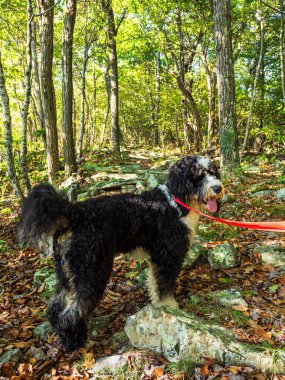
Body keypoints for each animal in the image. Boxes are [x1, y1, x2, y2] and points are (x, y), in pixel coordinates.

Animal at [18, 154, 224, 350]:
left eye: (213, 172)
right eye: (198, 175)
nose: (217, 188)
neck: (176, 201)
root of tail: (75, 211)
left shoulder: (157, 257)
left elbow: (154, 283)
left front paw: (158, 304)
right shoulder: (168, 255)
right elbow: (164, 284)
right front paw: (168, 307)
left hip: (67, 270)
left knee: (56, 305)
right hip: (91, 270)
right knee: (72, 312)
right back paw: (75, 343)